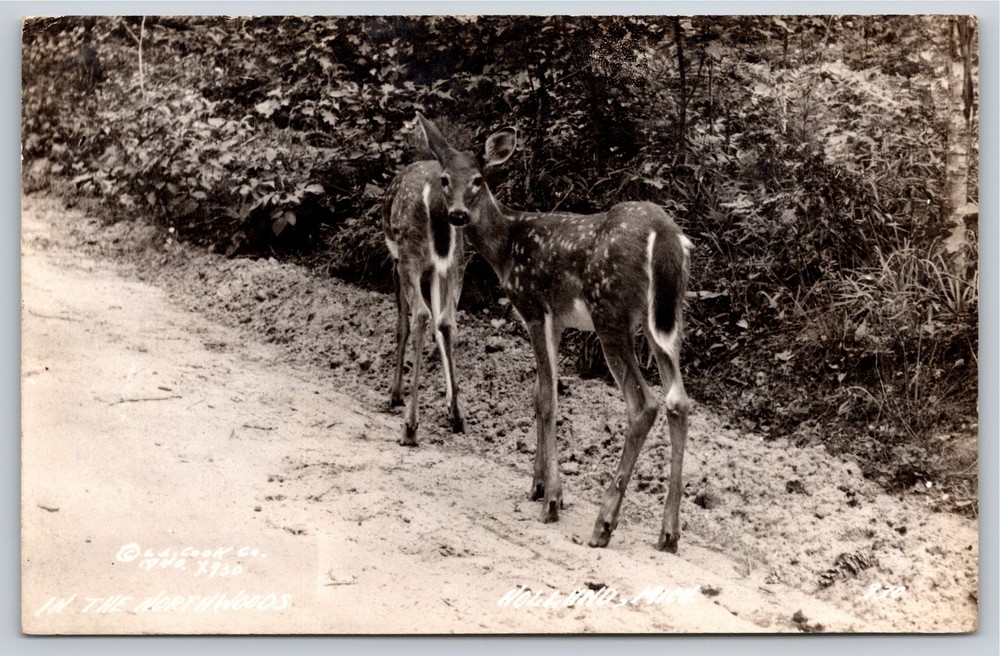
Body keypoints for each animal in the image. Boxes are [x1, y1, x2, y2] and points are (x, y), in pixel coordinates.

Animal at [381, 145, 469, 446]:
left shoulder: (396, 262)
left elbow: (401, 326)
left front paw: (395, 394)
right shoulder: (435, 271)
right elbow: (439, 329)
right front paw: (450, 402)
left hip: (409, 252)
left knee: (419, 315)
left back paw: (410, 427)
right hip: (458, 259)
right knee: (447, 321)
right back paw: (458, 417)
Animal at [414, 112, 693, 552]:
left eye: (478, 179)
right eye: (444, 178)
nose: (457, 214)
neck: (506, 246)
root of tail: (664, 235)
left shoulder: (533, 306)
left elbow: (548, 398)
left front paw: (553, 500)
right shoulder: (559, 318)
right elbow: (539, 394)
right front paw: (537, 485)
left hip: (610, 314)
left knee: (644, 402)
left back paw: (603, 524)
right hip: (666, 318)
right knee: (678, 400)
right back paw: (668, 533)